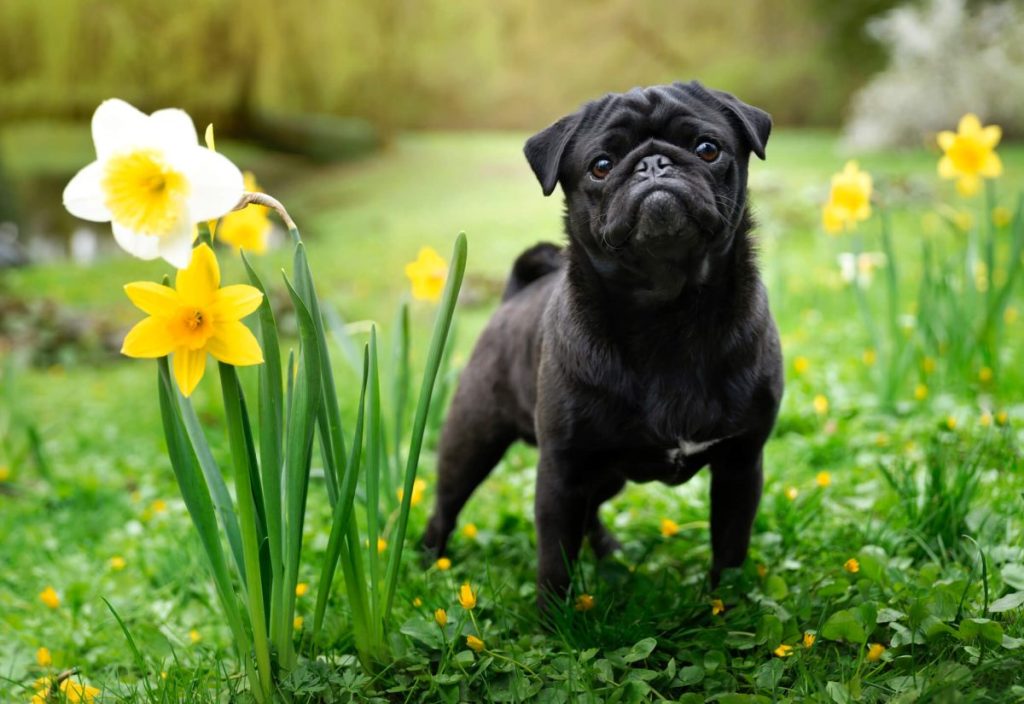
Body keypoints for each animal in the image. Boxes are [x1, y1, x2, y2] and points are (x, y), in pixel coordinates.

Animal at [423, 81, 782, 609]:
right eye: (601, 165)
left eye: (707, 149)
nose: (654, 163)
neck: (667, 311)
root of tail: (514, 296)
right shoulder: (561, 471)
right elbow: (554, 561)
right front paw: (553, 620)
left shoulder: (740, 465)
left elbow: (730, 549)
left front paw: (726, 608)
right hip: (472, 441)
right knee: (447, 504)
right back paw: (427, 560)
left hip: (607, 475)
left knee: (591, 510)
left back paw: (609, 550)